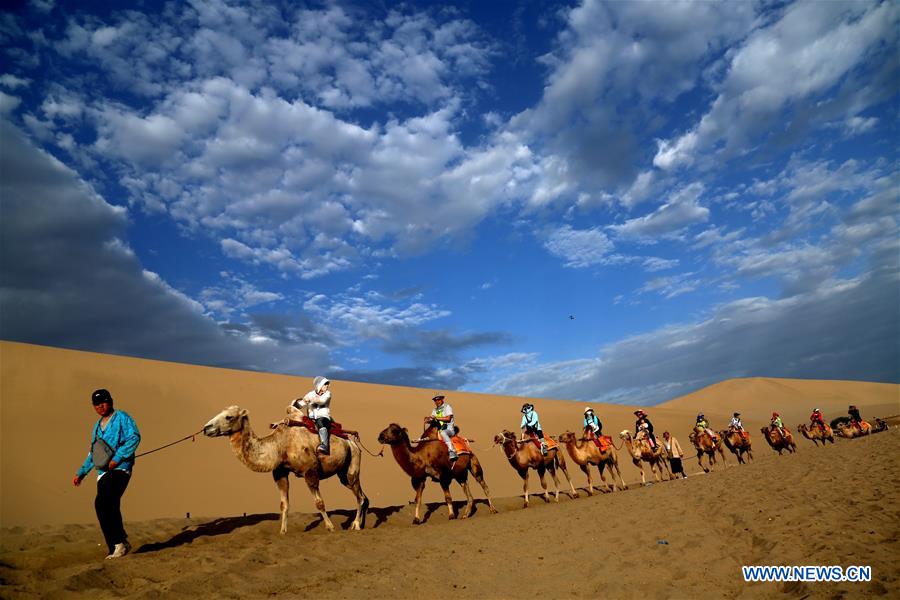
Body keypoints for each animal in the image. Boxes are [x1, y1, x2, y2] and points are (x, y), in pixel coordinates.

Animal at [204, 406, 370, 536]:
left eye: (229, 417)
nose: (206, 428)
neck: (279, 445)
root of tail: (352, 442)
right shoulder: (280, 473)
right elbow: (284, 504)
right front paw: (282, 531)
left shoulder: (310, 471)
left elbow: (319, 503)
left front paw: (330, 527)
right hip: (343, 473)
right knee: (362, 495)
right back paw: (361, 524)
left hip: (353, 463)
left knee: (359, 496)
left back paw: (355, 525)